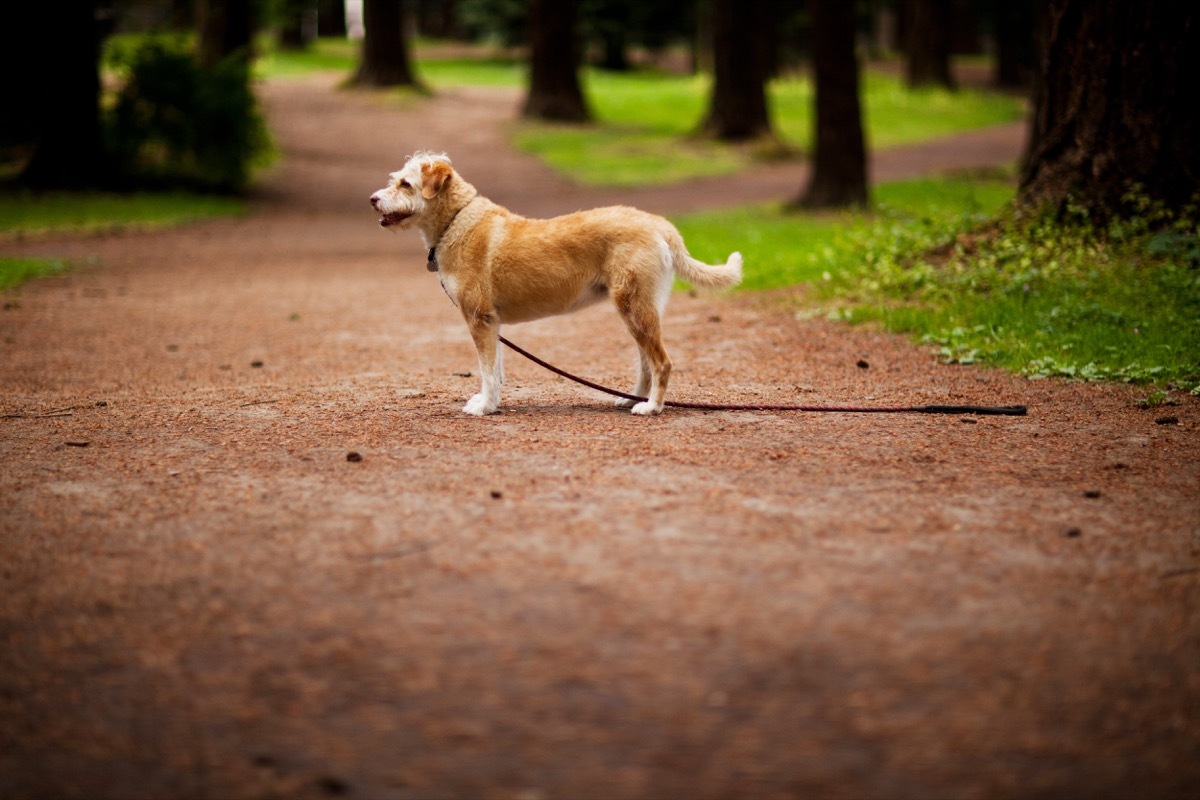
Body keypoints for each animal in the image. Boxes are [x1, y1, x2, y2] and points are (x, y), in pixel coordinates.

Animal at [367, 149, 739, 417]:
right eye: (395, 180)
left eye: (405, 184)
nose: (373, 199)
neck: (457, 222)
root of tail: (659, 224)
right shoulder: (492, 323)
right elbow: (496, 370)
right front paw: (491, 403)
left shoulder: (478, 318)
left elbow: (486, 370)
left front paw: (484, 407)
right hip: (638, 311)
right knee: (647, 362)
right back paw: (633, 399)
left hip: (635, 309)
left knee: (661, 362)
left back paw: (652, 408)